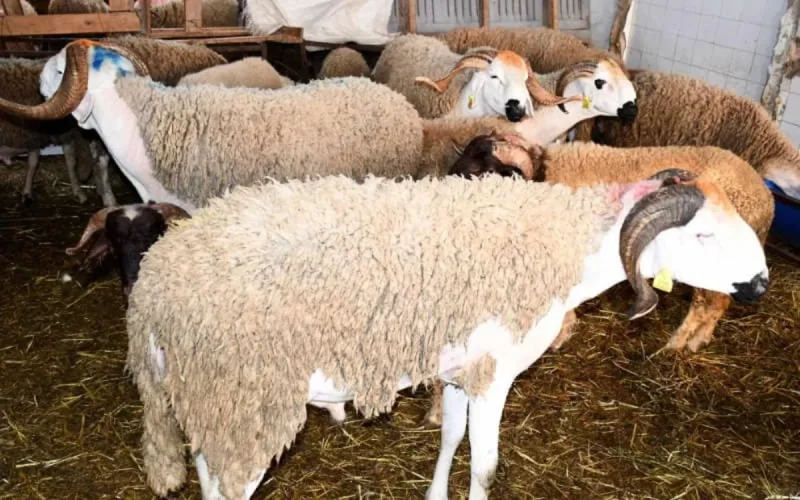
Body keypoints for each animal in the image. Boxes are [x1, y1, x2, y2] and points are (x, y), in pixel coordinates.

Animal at [124, 172, 768, 499]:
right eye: (704, 235)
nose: (761, 284)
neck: (565, 245)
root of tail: (152, 290)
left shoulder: (460, 370)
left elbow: (451, 440)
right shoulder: (493, 373)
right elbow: (485, 465)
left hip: (211, 402)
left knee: (206, 471)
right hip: (247, 404)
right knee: (230, 484)